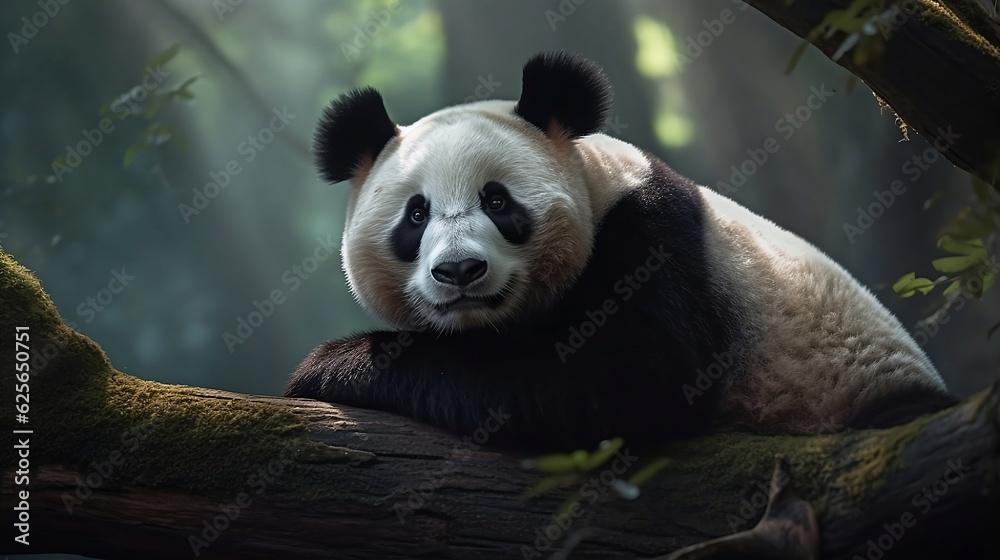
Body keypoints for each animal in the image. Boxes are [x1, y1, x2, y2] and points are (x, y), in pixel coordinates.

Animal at [285, 52, 956, 450]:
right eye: (416, 214)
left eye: (498, 202)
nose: (460, 271)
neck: (598, 183)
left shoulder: (653, 238)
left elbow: (623, 383)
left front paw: (332, 364)